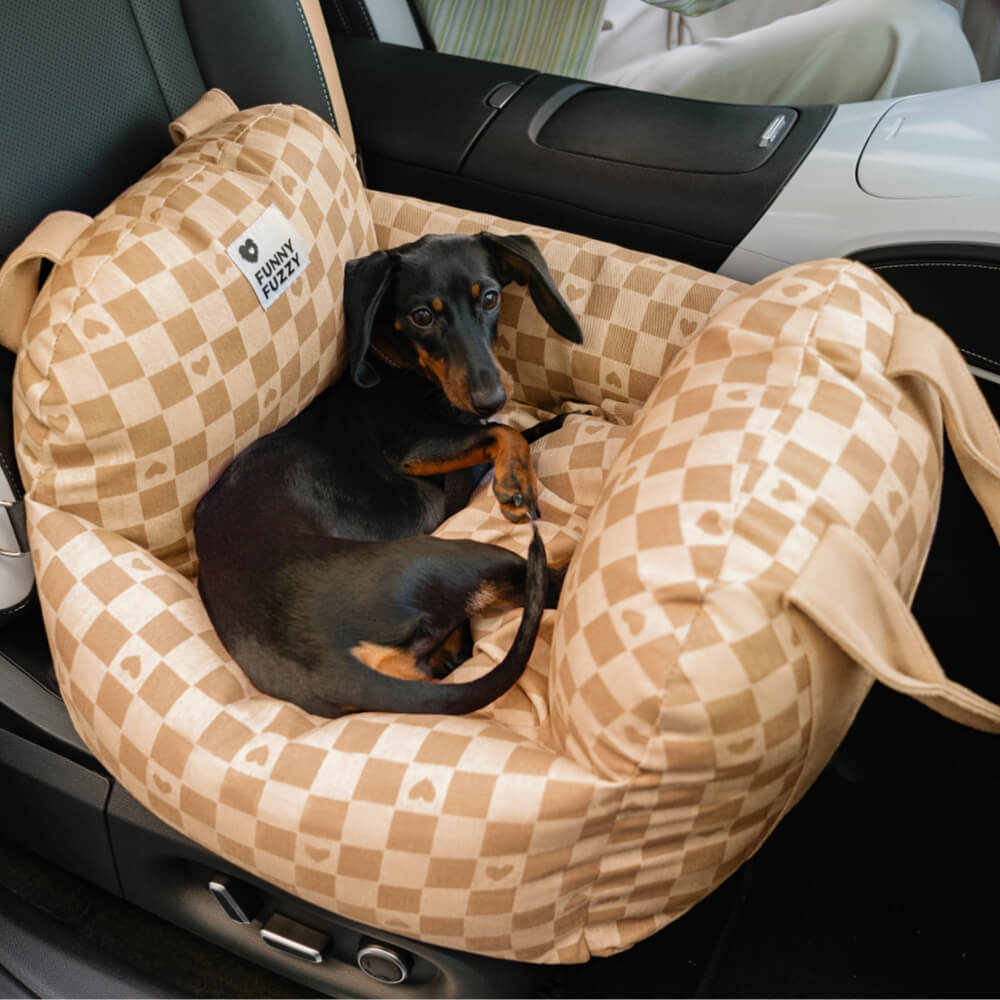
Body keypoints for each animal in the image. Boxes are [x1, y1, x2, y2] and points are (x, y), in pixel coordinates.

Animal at [195, 232, 584, 720]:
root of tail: (327, 666)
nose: (492, 397)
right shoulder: (415, 451)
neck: (402, 369)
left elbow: (523, 428)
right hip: (462, 555)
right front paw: (516, 481)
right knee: (550, 585)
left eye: (491, 297)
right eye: (422, 316)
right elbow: (508, 432)